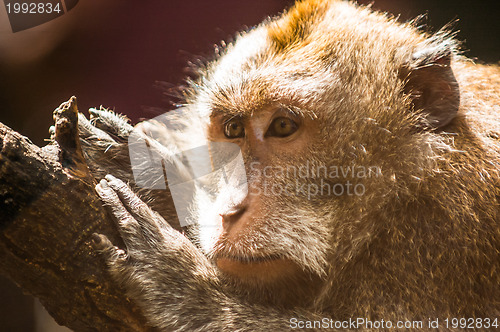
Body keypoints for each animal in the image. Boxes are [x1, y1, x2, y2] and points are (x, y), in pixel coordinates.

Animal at [87, 1, 500, 330]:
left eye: (283, 126)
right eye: (233, 129)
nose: (230, 211)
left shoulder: (441, 231)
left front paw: (188, 288)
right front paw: (159, 181)